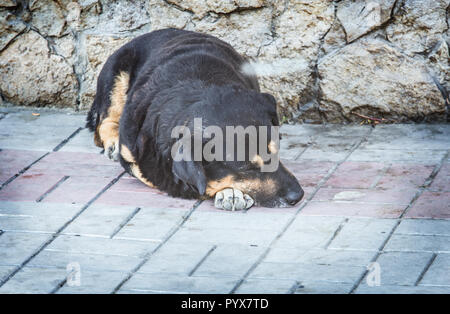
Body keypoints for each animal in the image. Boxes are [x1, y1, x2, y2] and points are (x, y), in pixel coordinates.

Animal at [86, 28, 304, 211]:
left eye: (276, 152)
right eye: (247, 167)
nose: (298, 195)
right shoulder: (135, 158)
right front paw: (230, 191)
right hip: (116, 72)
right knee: (103, 122)